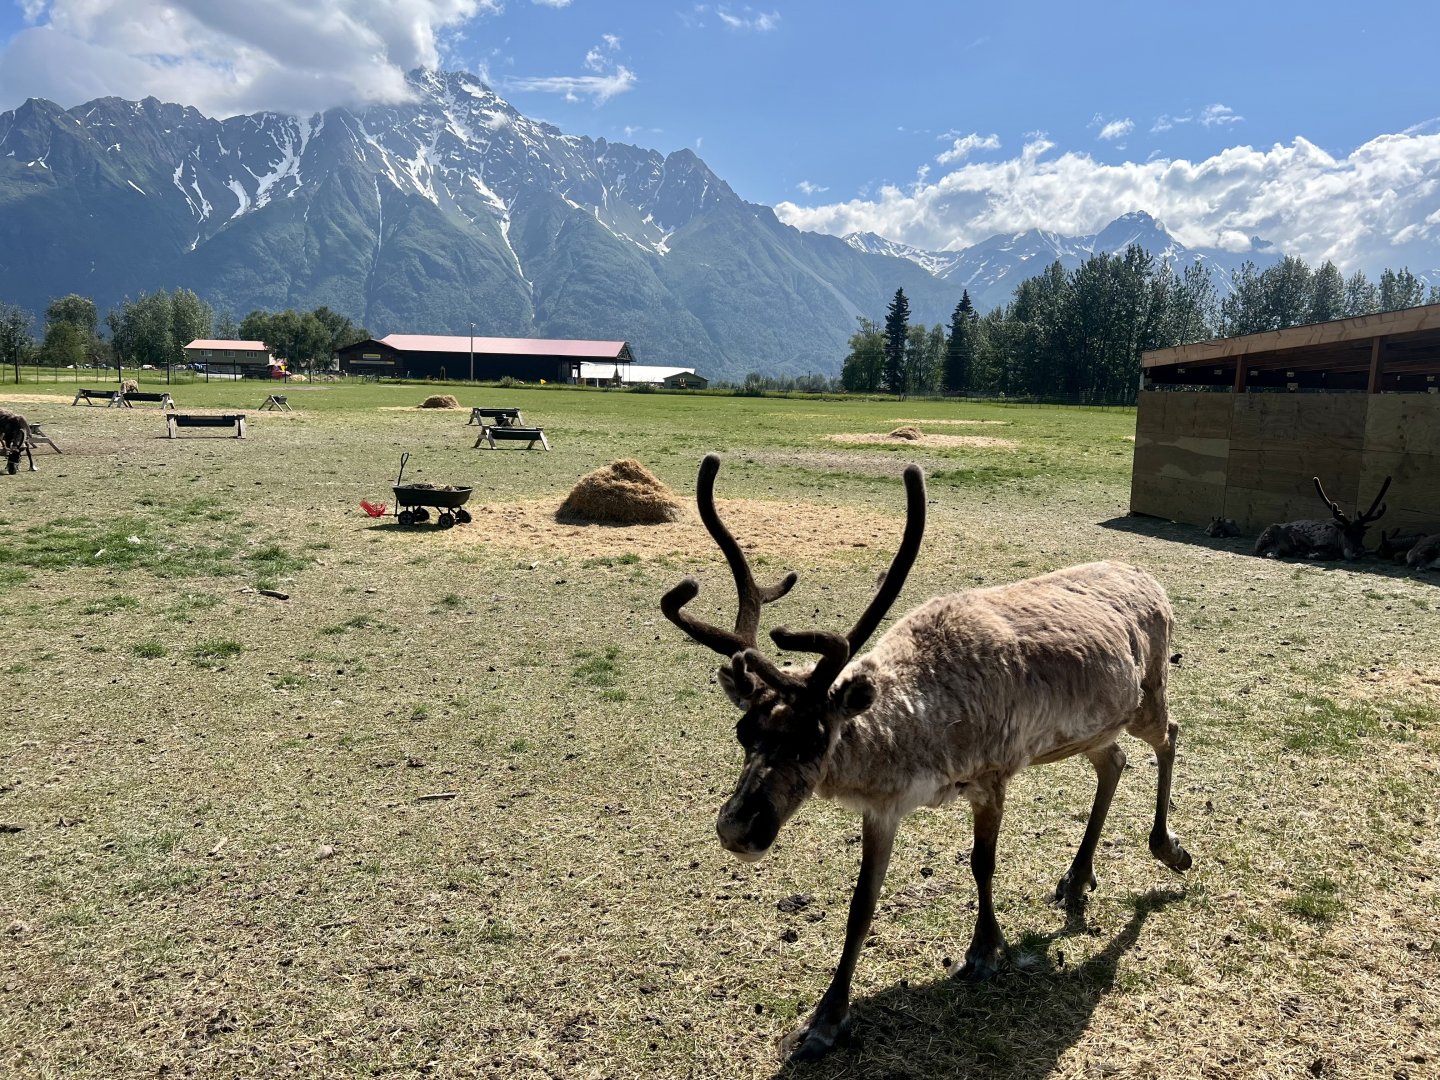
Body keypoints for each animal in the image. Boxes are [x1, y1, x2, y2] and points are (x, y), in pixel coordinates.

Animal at [661, 454, 1193, 1062]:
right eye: (743, 730)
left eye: (813, 739)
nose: (738, 827)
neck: (917, 727)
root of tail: (1149, 577)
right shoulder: (883, 809)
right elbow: (861, 906)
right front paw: (824, 1021)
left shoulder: (991, 775)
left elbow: (982, 863)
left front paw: (984, 951)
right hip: (1094, 728)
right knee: (1115, 762)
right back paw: (1077, 878)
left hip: (1148, 694)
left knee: (1170, 735)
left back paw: (1170, 849)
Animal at [1253, 475, 1390, 561]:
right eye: (1347, 533)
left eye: (1363, 534)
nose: (1358, 553)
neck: (1337, 537)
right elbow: (1320, 553)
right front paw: (1308, 554)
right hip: (1266, 538)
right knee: (1265, 551)